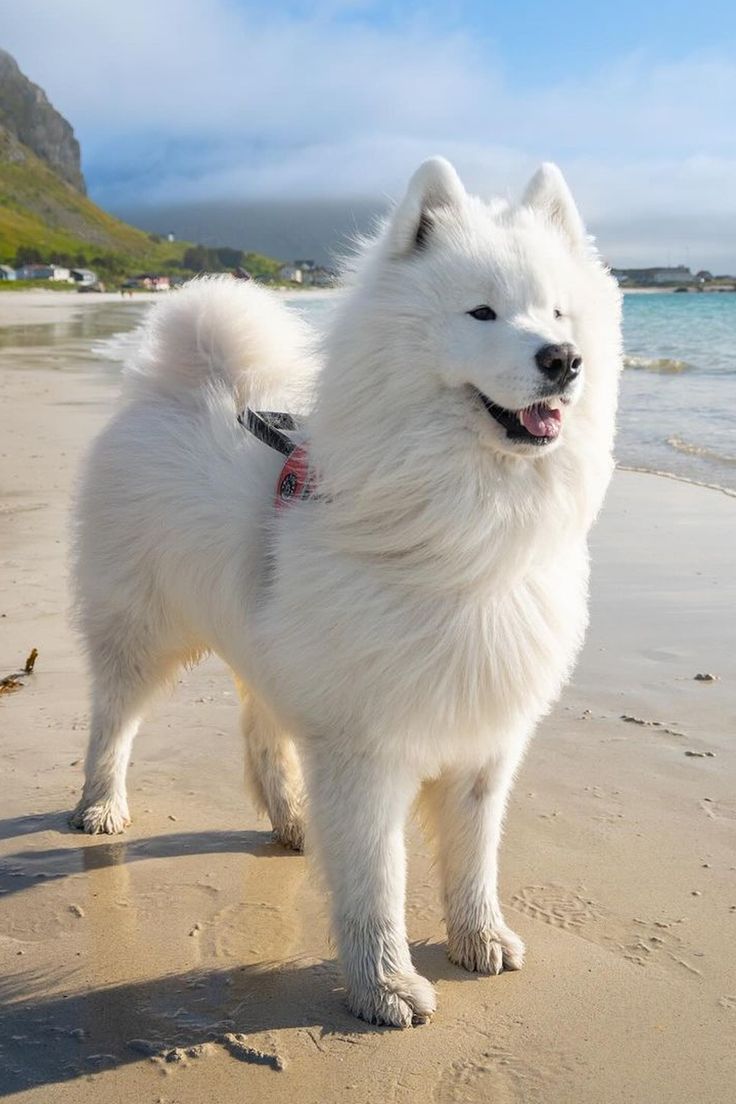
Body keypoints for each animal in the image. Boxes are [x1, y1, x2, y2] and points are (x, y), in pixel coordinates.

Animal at [70, 160, 622, 1028]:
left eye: (558, 311)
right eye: (483, 312)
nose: (562, 358)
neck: (462, 532)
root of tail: (181, 381)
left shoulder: (483, 738)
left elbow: (474, 859)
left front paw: (478, 939)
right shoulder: (367, 747)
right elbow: (375, 883)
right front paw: (383, 986)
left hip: (271, 650)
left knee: (261, 734)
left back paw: (294, 821)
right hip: (138, 630)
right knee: (112, 721)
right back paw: (100, 806)